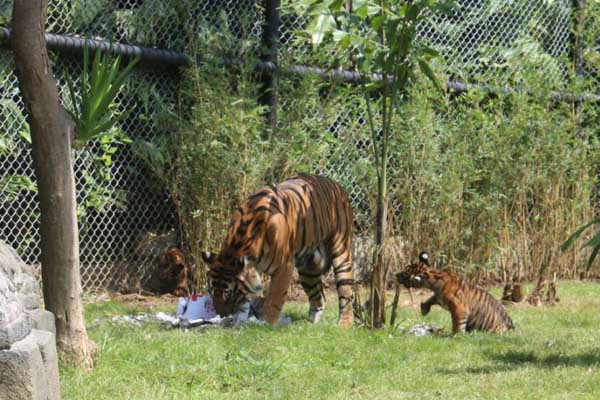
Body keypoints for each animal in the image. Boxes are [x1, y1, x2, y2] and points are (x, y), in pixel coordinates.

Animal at [203, 174, 352, 328]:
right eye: (212, 293)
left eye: (230, 295)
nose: (222, 315)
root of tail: (336, 184)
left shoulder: (284, 267)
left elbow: (274, 299)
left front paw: (267, 324)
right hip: (308, 272)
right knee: (320, 296)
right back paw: (311, 325)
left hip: (341, 252)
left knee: (346, 293)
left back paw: (344, 324)